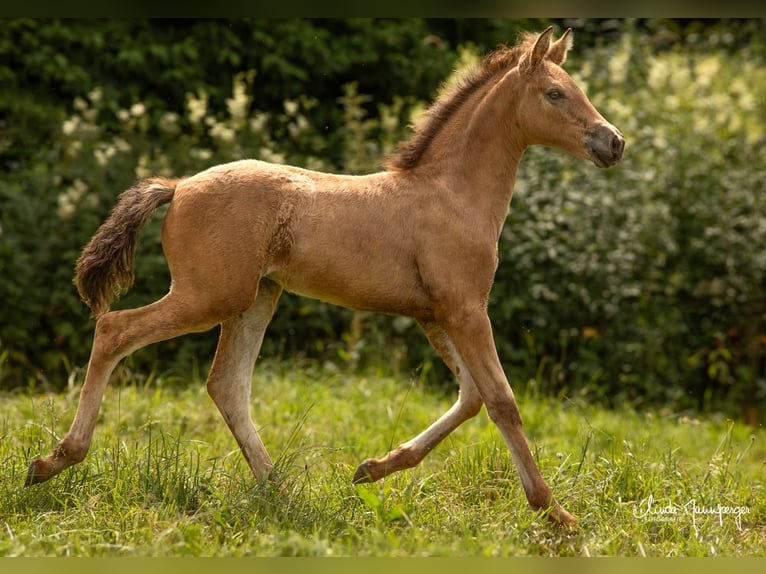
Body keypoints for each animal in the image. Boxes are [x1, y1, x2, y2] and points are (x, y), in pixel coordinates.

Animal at [27, 29, 624, 528]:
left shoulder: (435, 315)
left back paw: (282, 493)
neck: (451, 194)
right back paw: (53, 461)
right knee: (115, 330)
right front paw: (556, 514)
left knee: (227, 384)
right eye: (554, 94)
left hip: (256, 298)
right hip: (209, 296)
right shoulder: (465, 309)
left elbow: (472, 396)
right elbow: (502, 401)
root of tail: (177, 186)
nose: (613, 142)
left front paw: (373, 468)